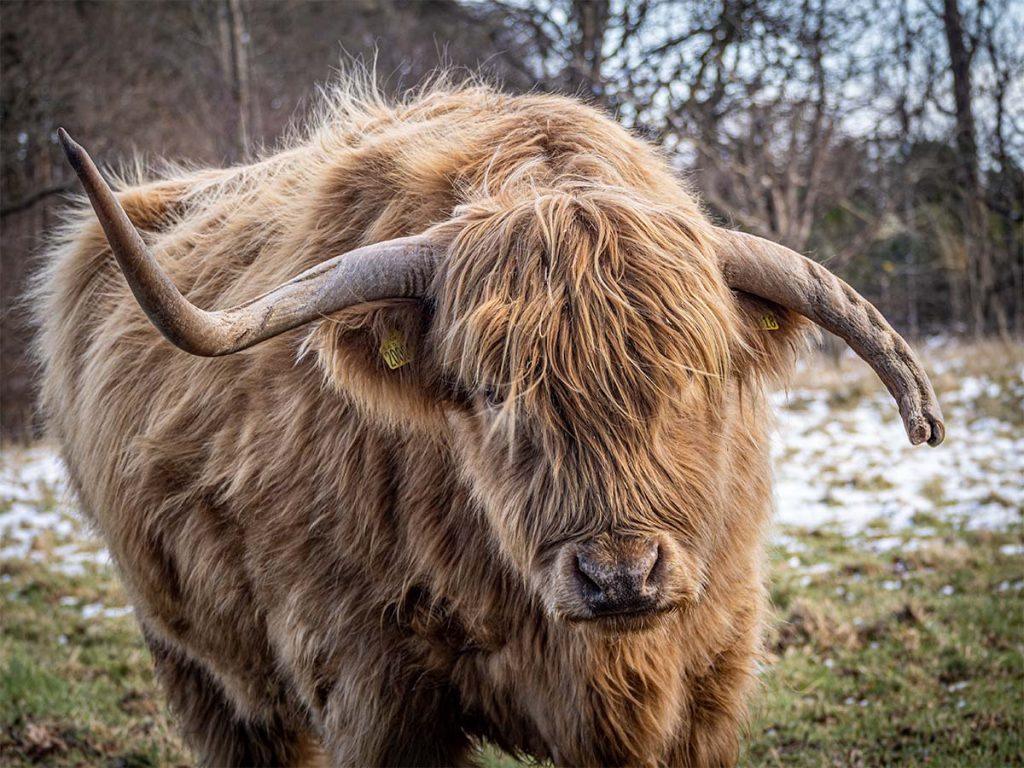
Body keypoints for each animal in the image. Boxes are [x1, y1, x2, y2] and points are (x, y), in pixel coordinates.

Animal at [34, 80, 944, 767]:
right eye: (493, 391)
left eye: (693, 376)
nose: (619, 577)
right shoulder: (373, 693)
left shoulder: (707, 680)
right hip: (191, 657)